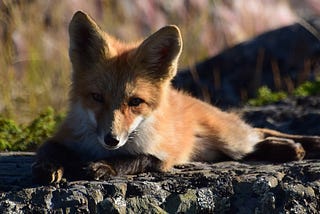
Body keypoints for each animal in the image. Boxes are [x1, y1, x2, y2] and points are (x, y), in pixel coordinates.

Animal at [32, 10, 320, 184]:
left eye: (135, 102)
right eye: (96, 97)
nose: (111, 139)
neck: (98, 148)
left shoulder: (162, 155)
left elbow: (134, 159)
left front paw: (104, 166)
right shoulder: (64, 136)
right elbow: (48, 149)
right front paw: (48, 167)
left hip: (231, 141)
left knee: (257, 134)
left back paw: (298, 145)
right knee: (257, 141)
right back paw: (289, 148)